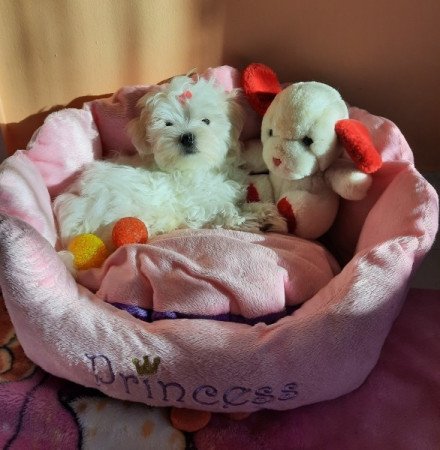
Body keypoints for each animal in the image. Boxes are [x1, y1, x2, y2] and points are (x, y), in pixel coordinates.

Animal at [53, 74, 286, 250]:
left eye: (206, 120)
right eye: (168, 124)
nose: (187, 137)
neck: (196, 169)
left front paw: (264, 213)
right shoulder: (193, 205)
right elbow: (218, 210)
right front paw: (246, 219)